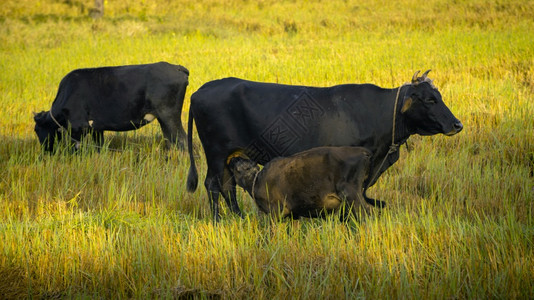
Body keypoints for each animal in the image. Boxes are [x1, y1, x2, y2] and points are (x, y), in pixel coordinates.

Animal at [33, 61, 188, 151]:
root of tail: (177, 68)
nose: (45, 151)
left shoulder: (78, 127)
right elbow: (99, 147)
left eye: (36, 129)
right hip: (164, 119)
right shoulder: (96, 128)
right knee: (171, 141)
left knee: (182, 140)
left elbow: (76, 149)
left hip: (169, 115)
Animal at [228, 147, 374, 220]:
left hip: (352, 195)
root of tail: (363, 151)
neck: (257, 180)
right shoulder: (294, 214)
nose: (235, 159)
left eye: (239, 169)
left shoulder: (275, 211)